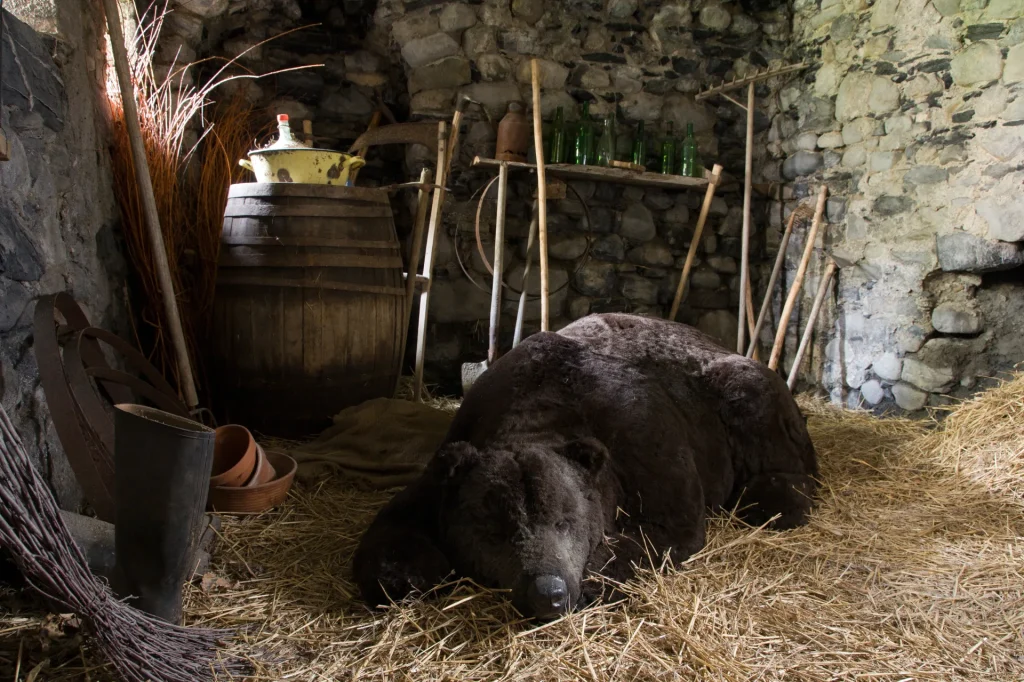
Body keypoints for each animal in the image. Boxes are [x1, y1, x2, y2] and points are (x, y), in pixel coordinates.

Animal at [356, 311, 819, 618]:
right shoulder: (451, 455)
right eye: (497, 529)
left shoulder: (649, 445)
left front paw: (597, 577)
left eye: (565, 520)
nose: (548, 590)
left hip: (742, 392)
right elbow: (393, 527)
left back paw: (774, 497)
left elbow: (660, 532)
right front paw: (408, 574)